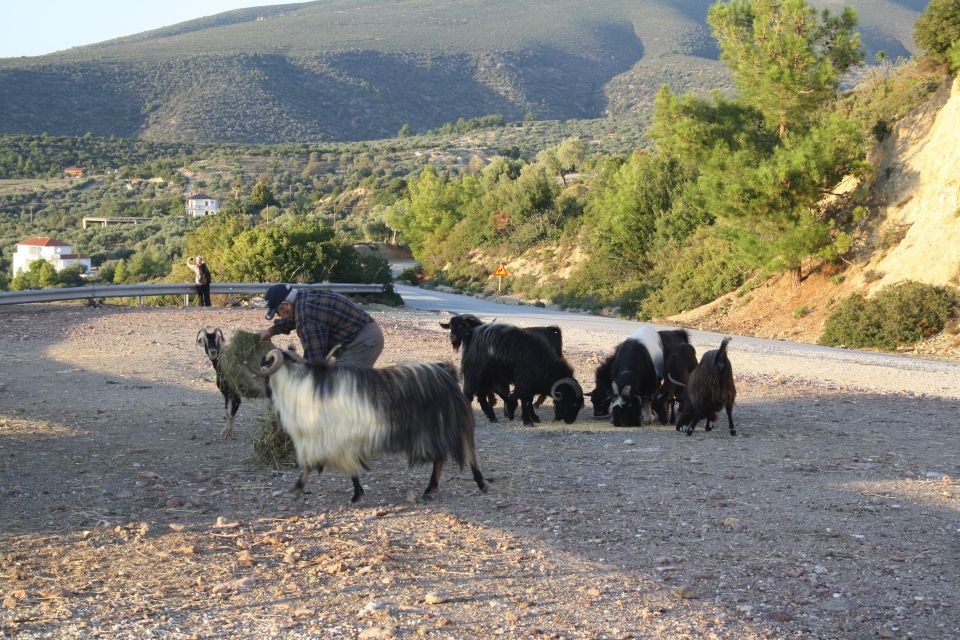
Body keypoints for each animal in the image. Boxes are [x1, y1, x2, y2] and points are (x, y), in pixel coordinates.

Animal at [249, 350, 488, 504]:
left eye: (264, 361)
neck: (297, 385)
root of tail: (447, 372)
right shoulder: (336, 441)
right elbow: (347, 470)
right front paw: (356, 494)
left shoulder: (328, 439)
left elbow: (316, 467)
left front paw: (298, 490)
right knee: (440, 459)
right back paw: (430, 490)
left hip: (447, 426)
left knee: (467, 453)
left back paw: (480, 484)